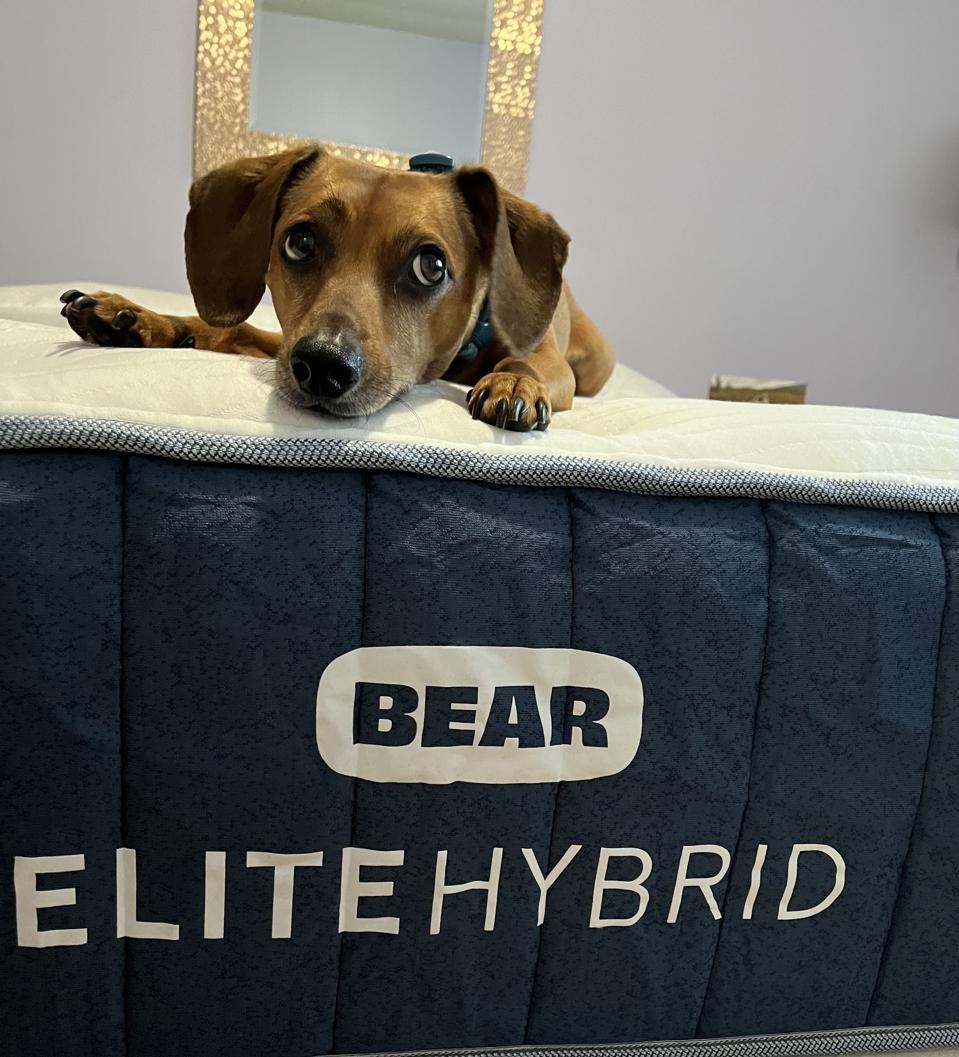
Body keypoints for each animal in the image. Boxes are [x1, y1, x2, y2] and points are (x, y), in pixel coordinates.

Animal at [60, 144, 613, 429]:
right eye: (300, 241)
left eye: (431, 267)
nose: (324, 366)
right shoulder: (283, 340)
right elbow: (226, 329)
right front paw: (138, 318)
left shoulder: (548, 361)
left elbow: (524, 363)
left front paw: (515, 383)